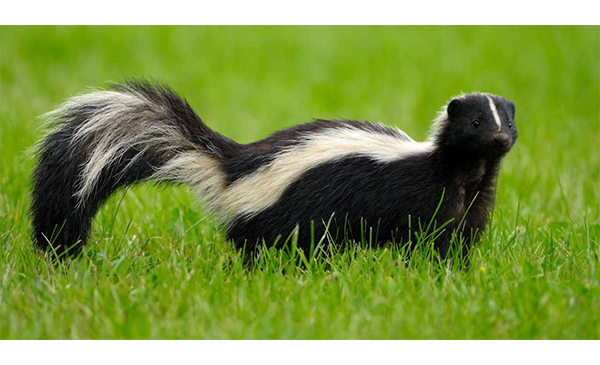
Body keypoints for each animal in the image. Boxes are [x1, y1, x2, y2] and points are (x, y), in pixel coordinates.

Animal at [30, 80, 516, 260]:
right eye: (476, 123)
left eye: (508, 122)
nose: (501, 139)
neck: (465, 170)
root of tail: (232, 167)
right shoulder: (424, 193)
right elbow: (430, 233)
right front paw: (432, 266)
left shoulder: (475, 196)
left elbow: (463, 235)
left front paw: (459, 269)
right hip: (288, 212)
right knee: (272, 245)